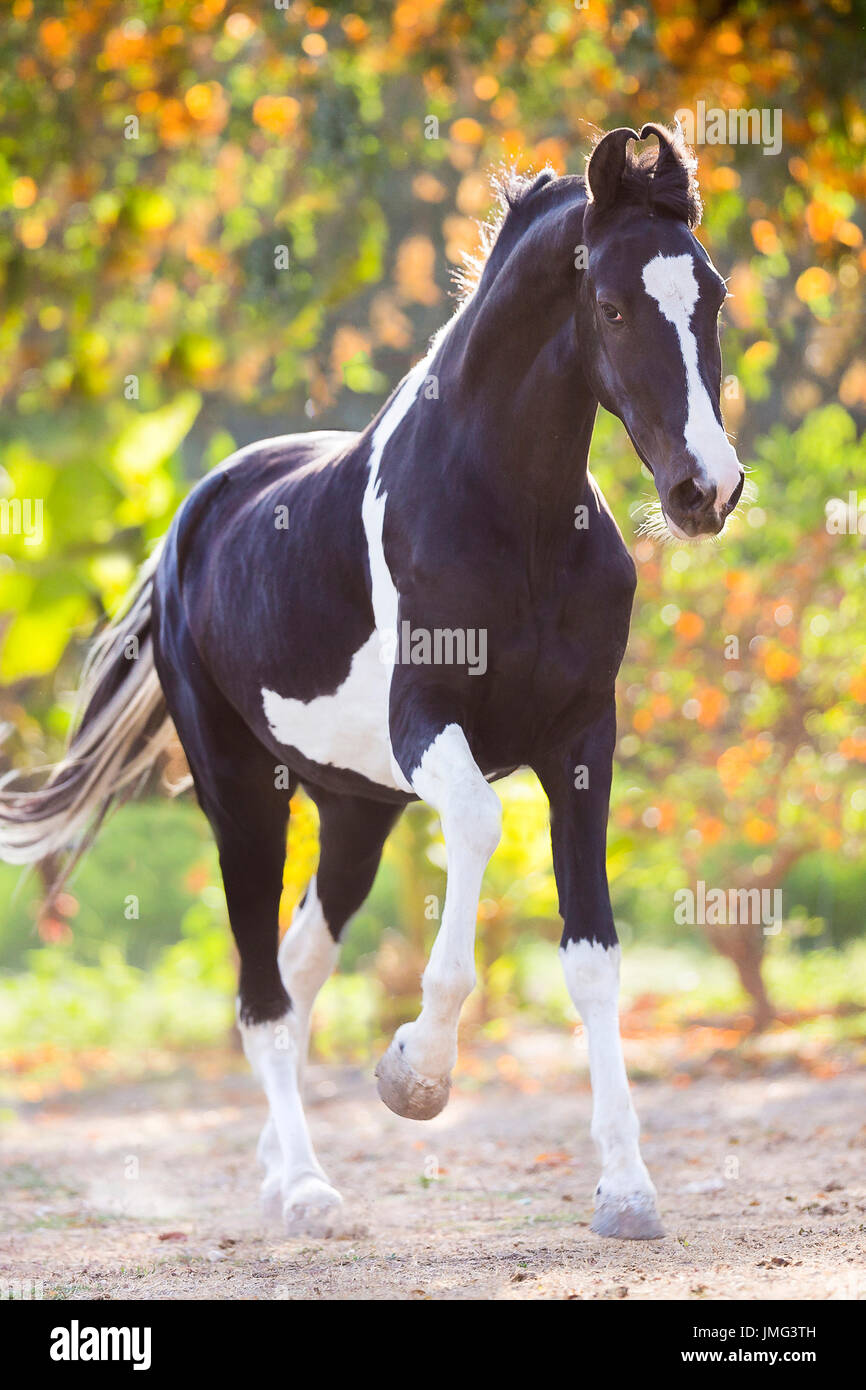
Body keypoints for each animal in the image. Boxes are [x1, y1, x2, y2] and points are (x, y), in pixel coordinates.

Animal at [0, 123, 743, 1240]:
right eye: (613, 306)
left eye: (712, 297)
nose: (707, 490)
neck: (509, 517)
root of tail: (190, 522)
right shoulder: (427, 728)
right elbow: (476, 832)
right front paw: (414, 1076)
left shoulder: (581, 744)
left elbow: (592, 955)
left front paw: (625, 1188)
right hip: (243, 797)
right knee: (261, 994)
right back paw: (309, 1192)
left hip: (354, 810)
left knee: (298, 967)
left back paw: (279, 1172)